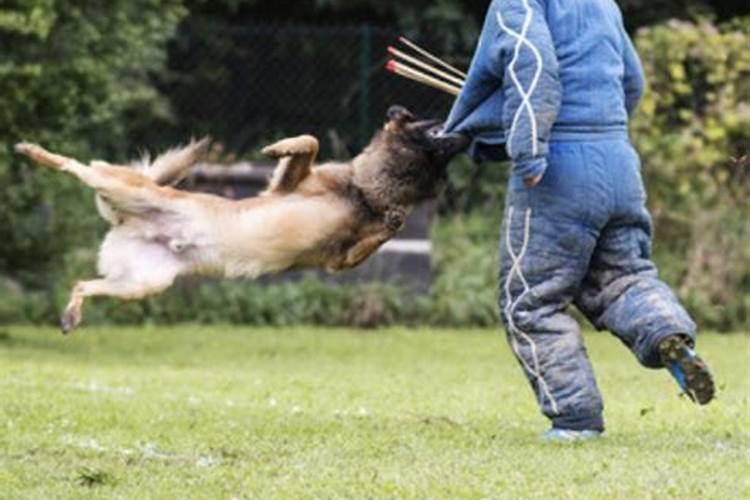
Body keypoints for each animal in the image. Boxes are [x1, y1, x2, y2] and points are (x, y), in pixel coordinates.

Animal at [14, 105, 468, 332]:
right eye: (432, 122)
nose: (469, 131)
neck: (364, 190)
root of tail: (129, 222)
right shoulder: (287, 189)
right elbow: (309, 141)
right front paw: (278, 146)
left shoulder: (339, 261)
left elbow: (389, 228)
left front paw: (392, 219)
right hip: (128, 189)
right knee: (79, 165)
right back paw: (34, 151)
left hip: (143, 283)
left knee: (83, 283)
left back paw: (71, 315)